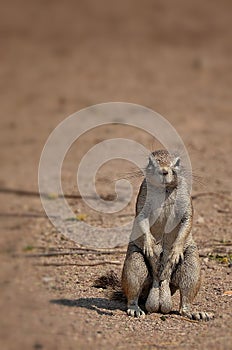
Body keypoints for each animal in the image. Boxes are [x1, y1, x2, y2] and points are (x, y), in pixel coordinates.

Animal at [122, 149, 213, 322]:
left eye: (177, 162)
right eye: (150, 161)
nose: (164, 171)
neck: (164, 190)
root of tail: (161, 281)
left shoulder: (185, 200)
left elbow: (187, 220)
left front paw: (175, 251)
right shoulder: (143, 197)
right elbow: (141, 218)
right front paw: (150, 245)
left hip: (191, 263)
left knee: (186, 297)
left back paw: (195, 313)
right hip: (135, 261)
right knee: (133, 291)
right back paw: (135, 309)